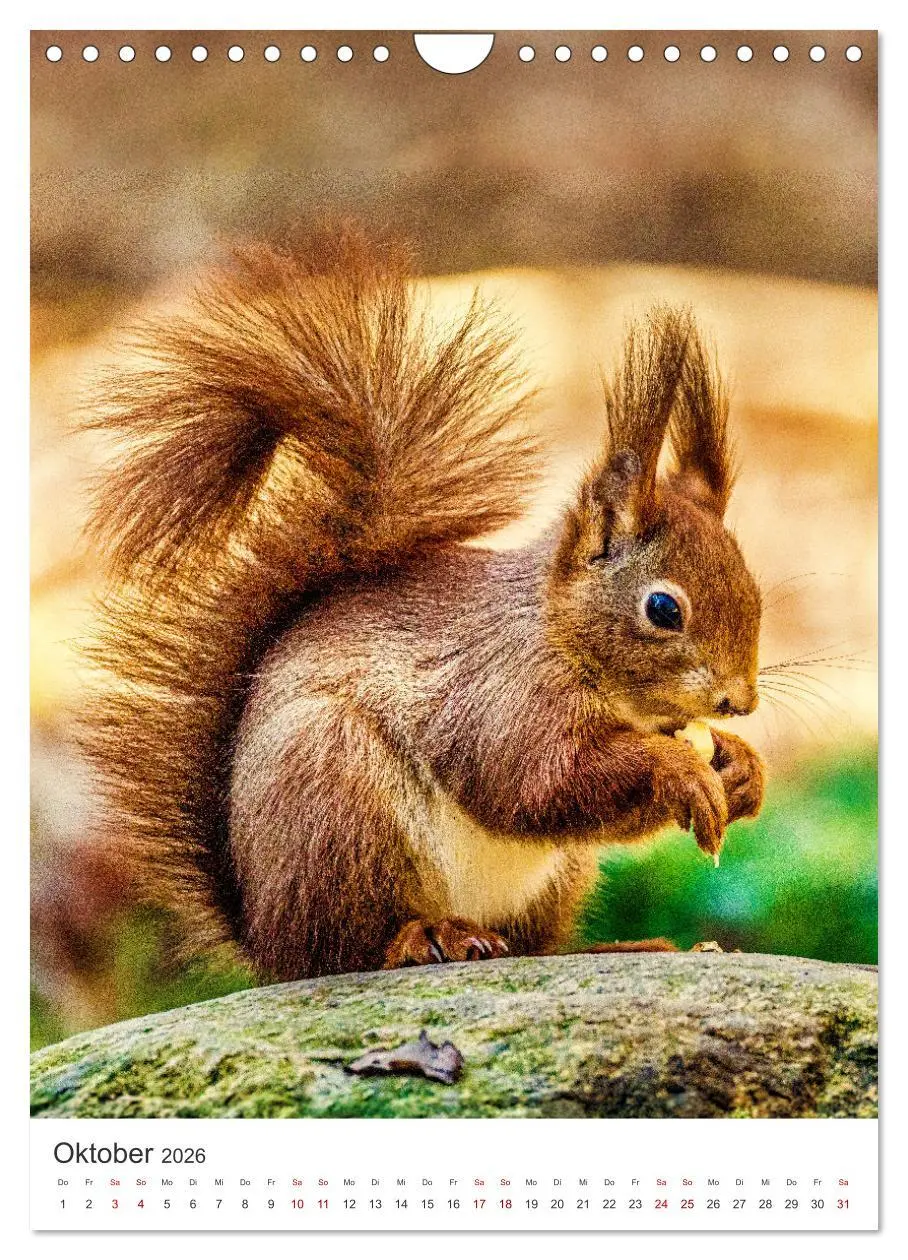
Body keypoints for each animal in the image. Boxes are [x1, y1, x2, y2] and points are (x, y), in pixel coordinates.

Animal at [82, 227, 765, 981]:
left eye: (754, 589)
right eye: (664, 610)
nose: (740, 701)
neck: (558, 636)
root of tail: (264, 937)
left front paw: (742, 770)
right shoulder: (500, 698)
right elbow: (535, 783)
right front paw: (680, 769)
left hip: (552, 878)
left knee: (533, 944)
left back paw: (617, 945)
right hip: (336, 808)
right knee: (346, 949)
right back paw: (424, 937)